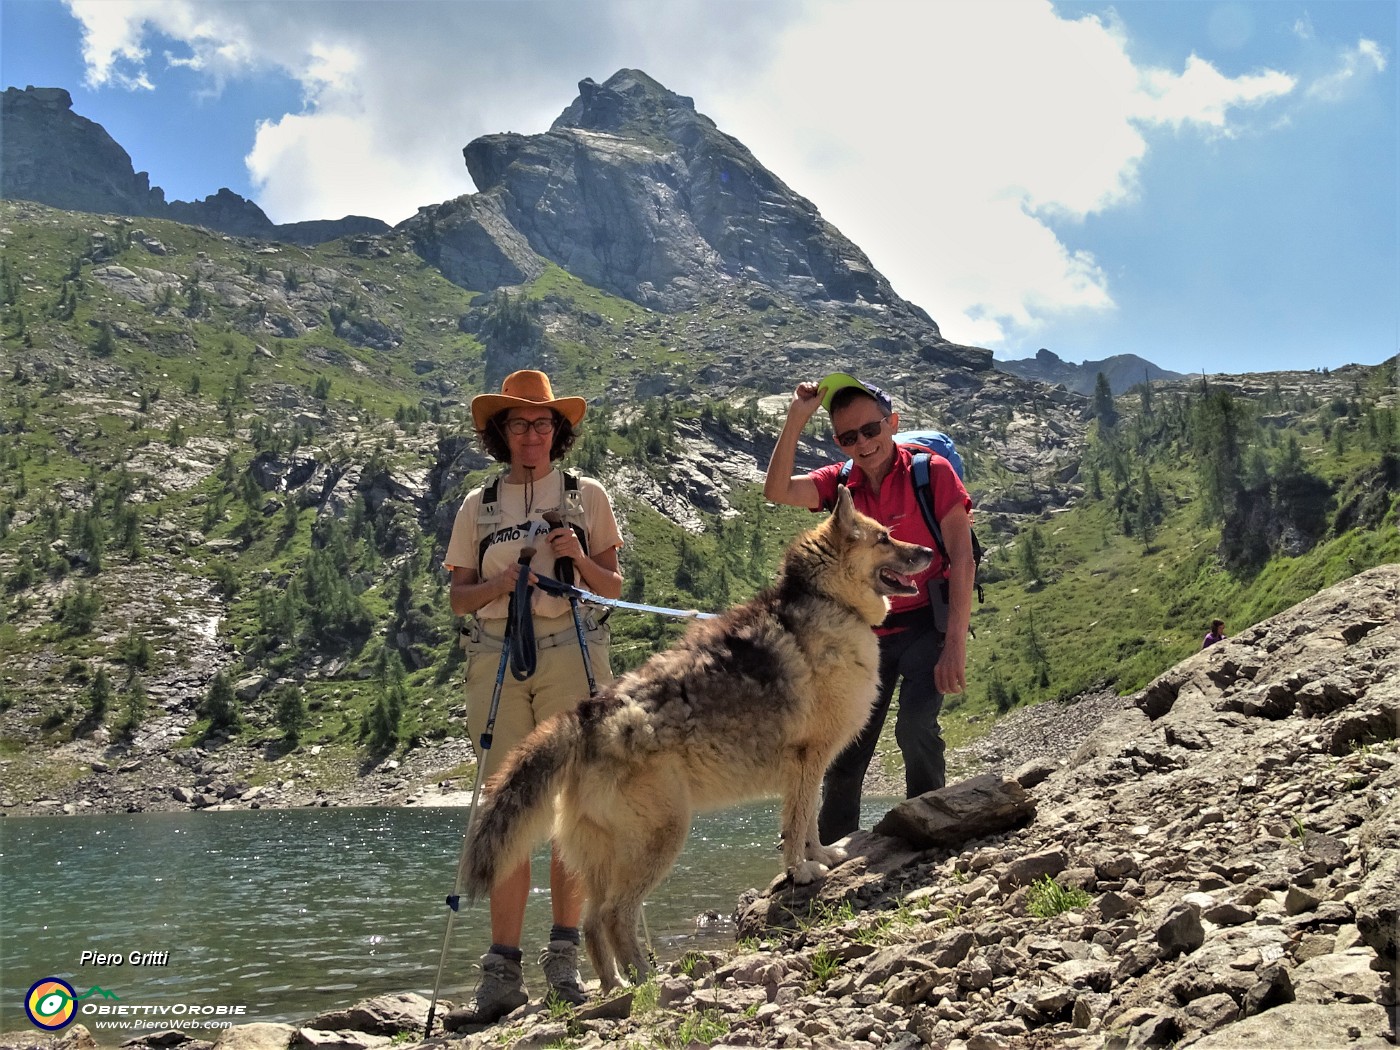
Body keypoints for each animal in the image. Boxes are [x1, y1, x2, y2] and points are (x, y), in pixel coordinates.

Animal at [456, 490, 929, 991]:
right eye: (885, 538)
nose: (928, 552)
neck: (827, 601)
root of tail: (583, 718)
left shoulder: (810, 767)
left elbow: (809, 826)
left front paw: (821, 855)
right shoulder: (808, 760)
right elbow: (800, 824)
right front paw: (802, 870)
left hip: (601, 858)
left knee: (590, 922)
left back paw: (615, 986)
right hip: (661, 837)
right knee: (615, 916)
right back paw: (649, 981)